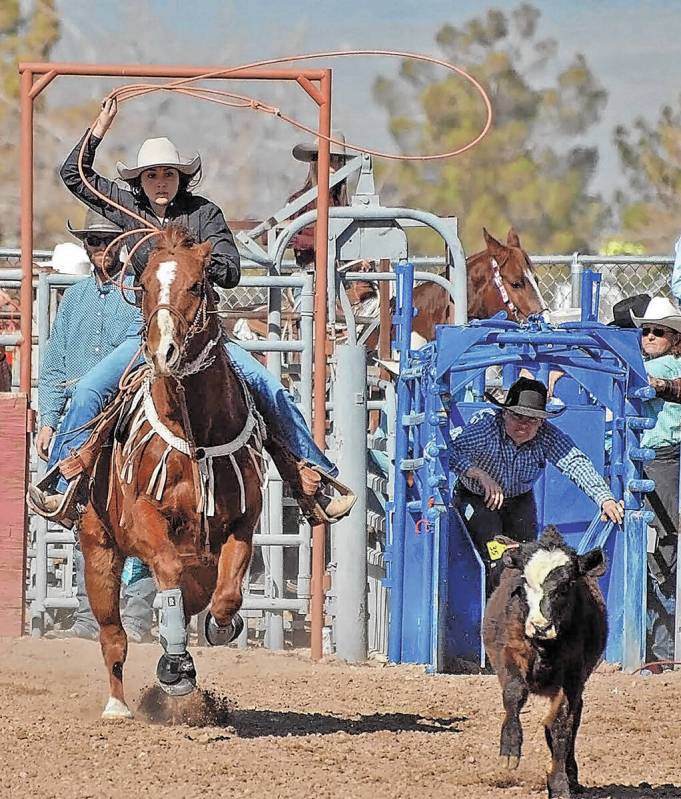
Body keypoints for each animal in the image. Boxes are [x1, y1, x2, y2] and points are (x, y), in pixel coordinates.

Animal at [78, 223, 262, 720]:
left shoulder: (244, 521)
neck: (195, 433)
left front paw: (221, 627)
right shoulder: (141, 519)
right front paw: (175, 667)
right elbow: (166, 570)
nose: (164, 352)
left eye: (197, 284)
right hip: (99, 550)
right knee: (114, 638)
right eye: (142, 285)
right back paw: (119, 705)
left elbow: (228, 596)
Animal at [480, 528, 608, 796]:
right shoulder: (509, 652)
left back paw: (571, 774)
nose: (541, 626)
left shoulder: (572, 675)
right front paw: (510, 748)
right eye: (525, 582)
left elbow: (561, 723)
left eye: (566, 585)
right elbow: (515, 694)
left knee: (572, 720)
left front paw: (559, 783)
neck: (544, 646)